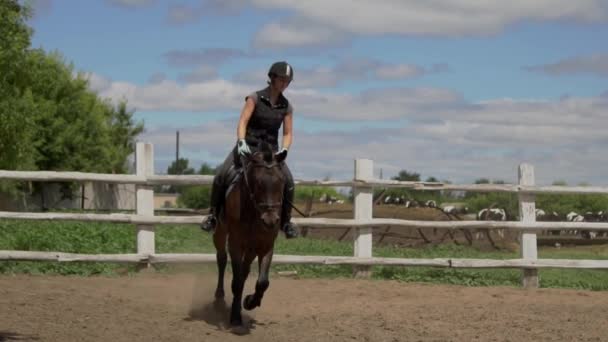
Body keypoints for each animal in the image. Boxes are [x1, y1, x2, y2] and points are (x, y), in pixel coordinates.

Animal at [213, 143, 288, 328]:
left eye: (282, 182)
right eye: (258, 183)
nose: (270, 220)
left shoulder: (266, 246)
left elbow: (263, 282)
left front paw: (249, 302)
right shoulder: (235, 244)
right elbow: (237, 282)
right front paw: (235, 317)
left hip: (251, 248)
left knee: (244, 270)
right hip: (220, 234)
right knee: (222, 259)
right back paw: (219, 297)